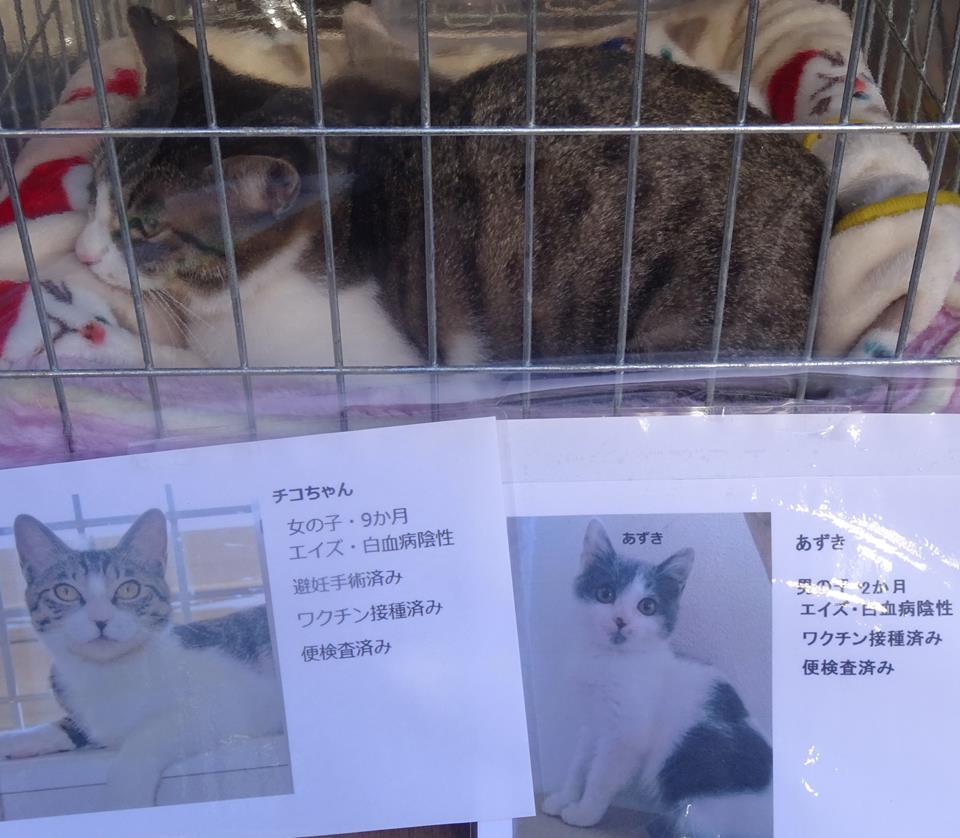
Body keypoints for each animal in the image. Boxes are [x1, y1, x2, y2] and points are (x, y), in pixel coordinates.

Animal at [0, 509, 287, 811]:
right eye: (65, 592)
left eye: (129, 589)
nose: (100, 619)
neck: (109, 675)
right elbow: (74, 726)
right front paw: (16, 739)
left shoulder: (230, 701)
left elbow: (149, 733)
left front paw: (125, 795)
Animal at [542, 519, 771, 837]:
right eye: (605, 594)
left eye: (647, 607)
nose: (621, 620)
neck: (609, 660)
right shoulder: (593, 721)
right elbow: (579, 762)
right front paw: (564, 798)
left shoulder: (626, 735)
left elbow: (600, 776)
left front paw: (584, 813)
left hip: (699, 808)